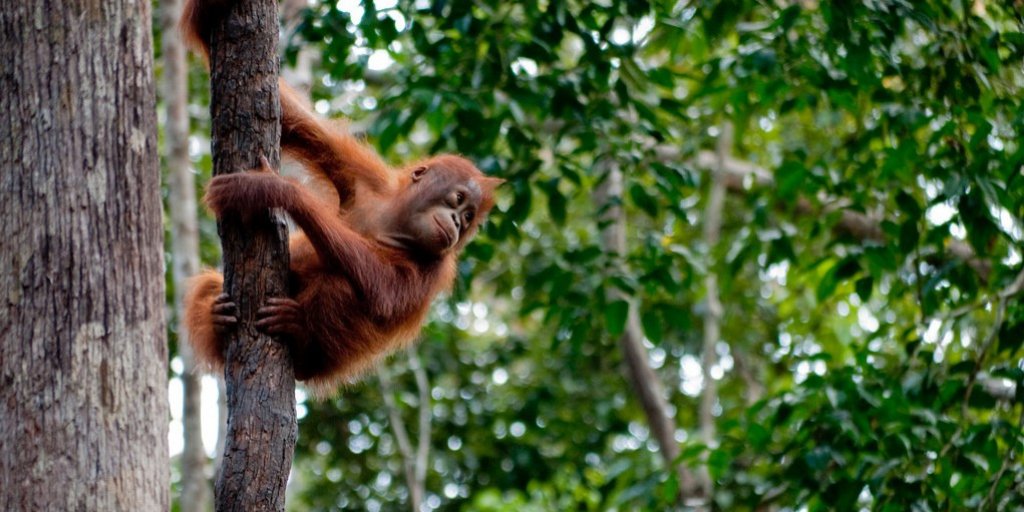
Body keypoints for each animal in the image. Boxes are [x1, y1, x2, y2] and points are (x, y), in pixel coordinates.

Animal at [180, 0, 503, 394]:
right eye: (458, 201)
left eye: (469, 218)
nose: (457, 223)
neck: (393, 219)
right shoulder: (361, 174)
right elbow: (296, 122)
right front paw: (211, 8)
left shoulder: (438, 267)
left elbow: (387, 293)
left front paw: (271, 189)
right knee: (210, 286)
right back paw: (215, 316)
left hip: (325, 363)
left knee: (343, 285)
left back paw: (300, 334)